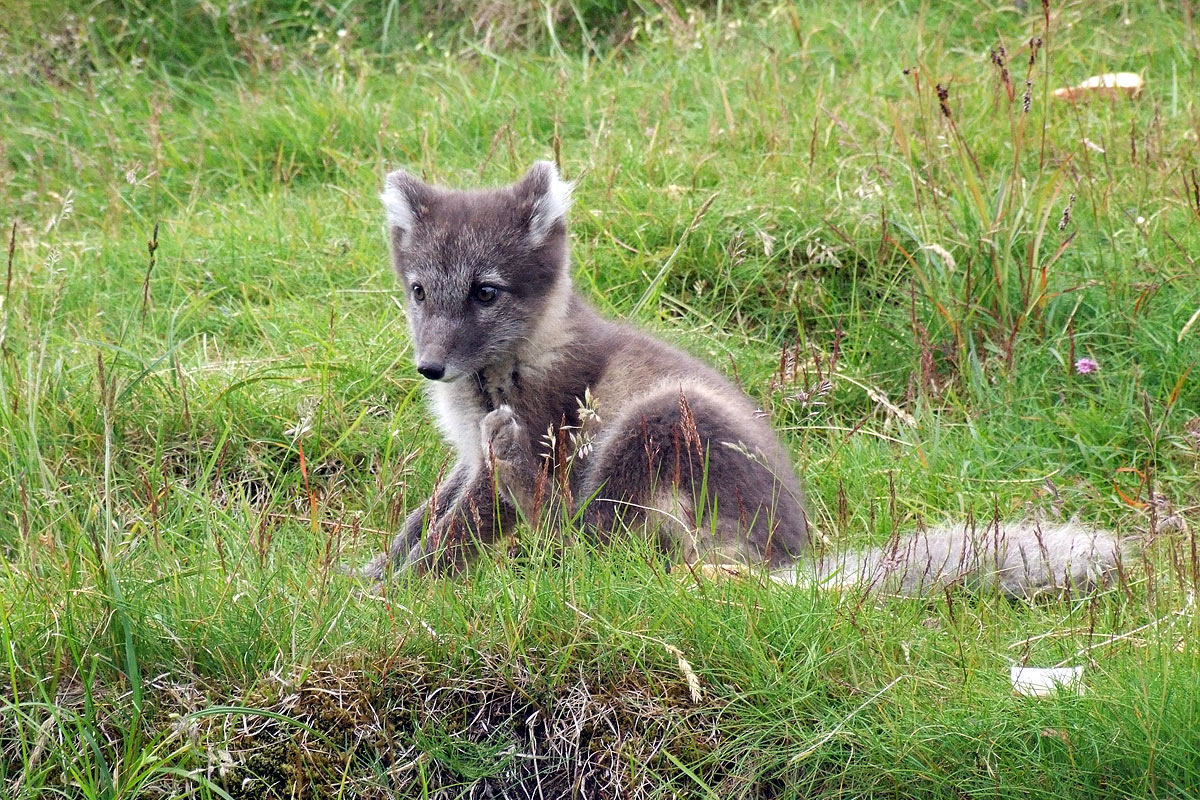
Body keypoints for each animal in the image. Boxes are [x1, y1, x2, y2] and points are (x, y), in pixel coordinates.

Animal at [363, 161, 1125, 597]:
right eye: (420, 290)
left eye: (486, 292)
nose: (429, 366)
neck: (504, 371)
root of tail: (785, 561)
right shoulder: (465, 457)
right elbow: (424, 518)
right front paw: (371, 572)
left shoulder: (543, 431)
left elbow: (454, 536)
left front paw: (397, 594)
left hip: (655, 426)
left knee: (588, 553)